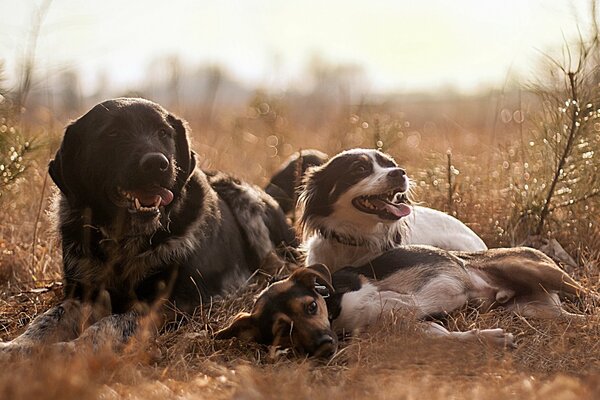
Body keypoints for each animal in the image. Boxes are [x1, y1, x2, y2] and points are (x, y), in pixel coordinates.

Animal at [1, 97, 296, 354]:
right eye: (112, 133)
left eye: (163, 132)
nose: (157, 164)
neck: (123, 240)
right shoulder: (81, 294)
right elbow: (46, 320)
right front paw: (17, 347)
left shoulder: (166, 305)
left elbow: (108, 325)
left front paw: (71, 350)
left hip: (243, 197)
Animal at [217, 245, 596, 358]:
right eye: (284, 331)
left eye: (311, 307)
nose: (324, 345)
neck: (336, 314)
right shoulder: (422, 329)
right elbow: (452, 338)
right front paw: (489, 339)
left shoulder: (391, 299)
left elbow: (397, 303)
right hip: (535, 311)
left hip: (533, 270)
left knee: (590, 296)